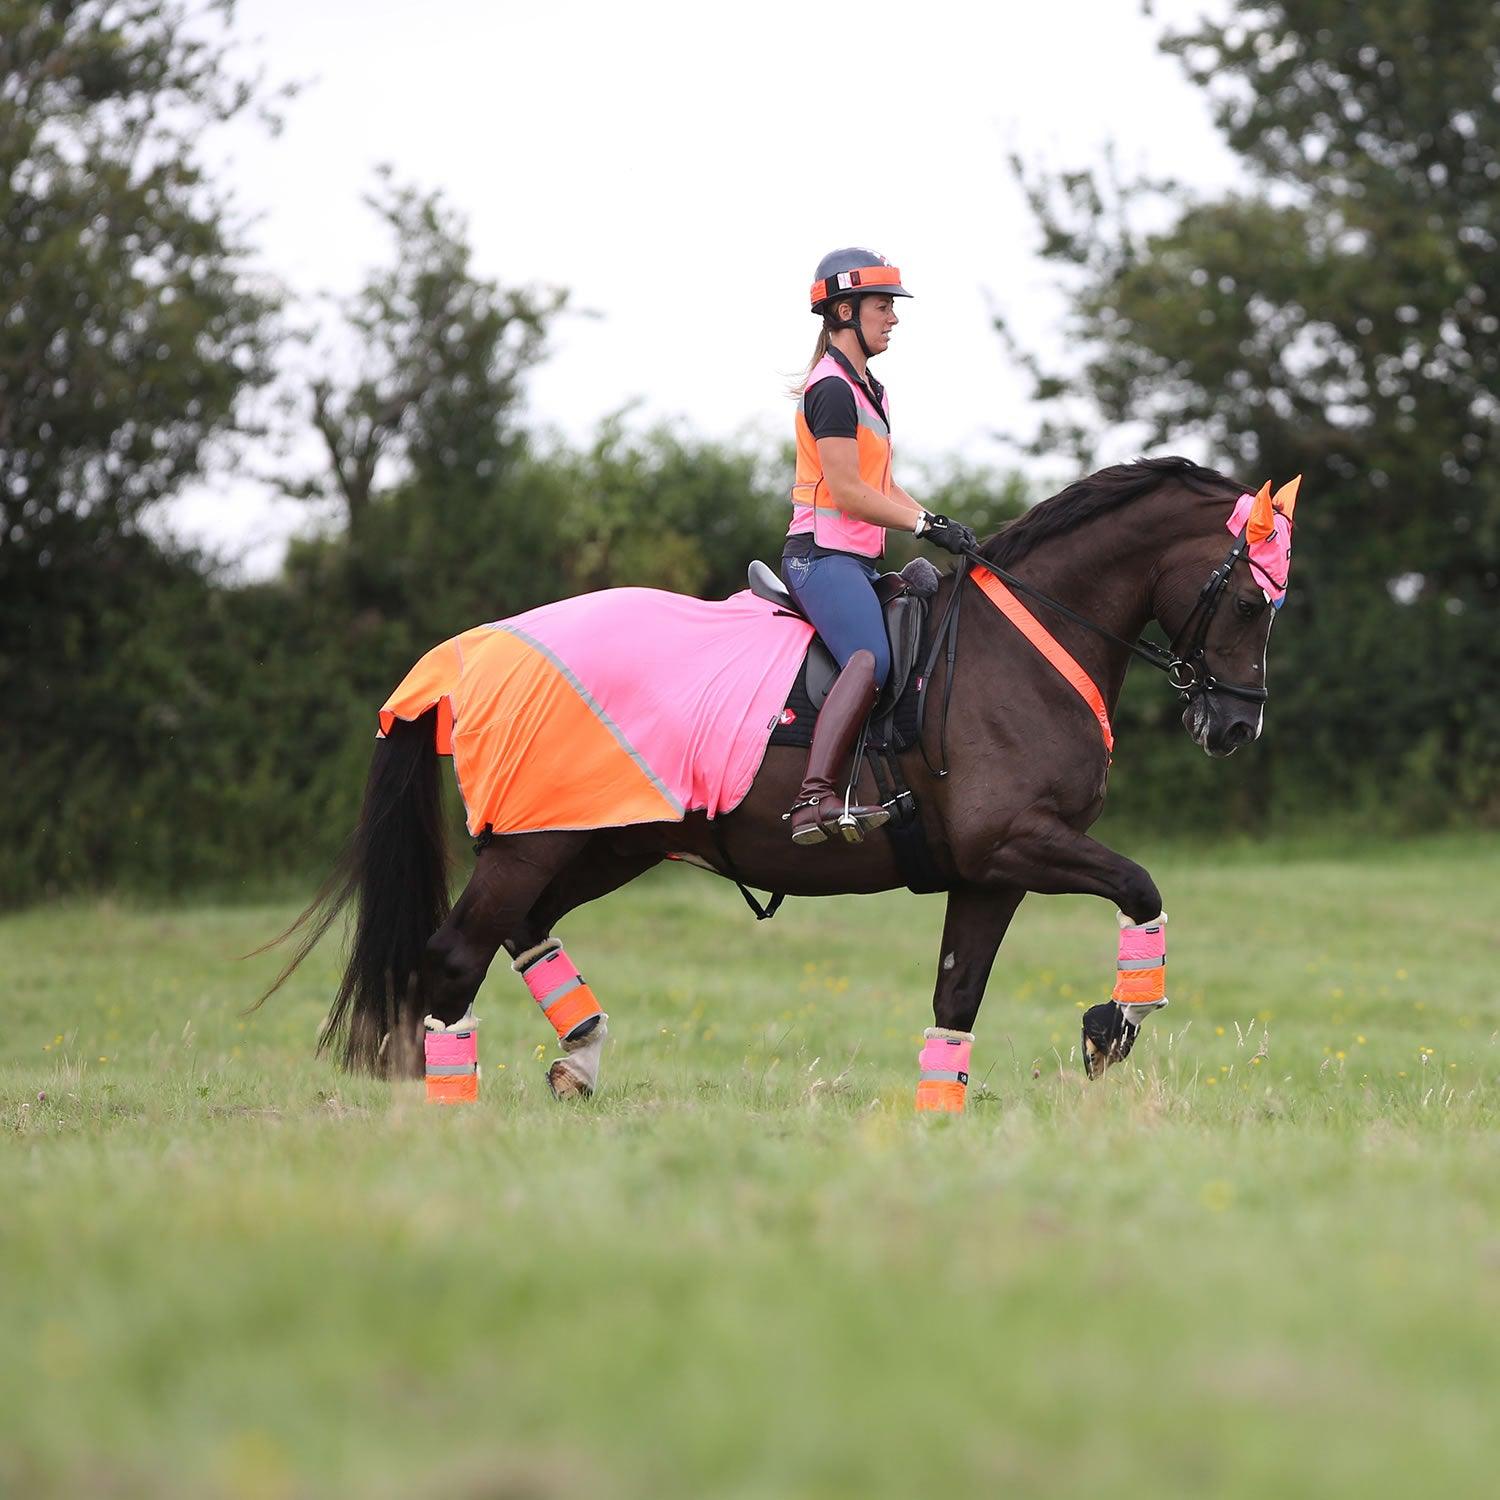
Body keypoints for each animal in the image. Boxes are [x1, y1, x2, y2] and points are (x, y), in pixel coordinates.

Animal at [264, 450, 1296, 1110]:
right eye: (1252, 600)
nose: (1235, 726)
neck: (1023, 648)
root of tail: (473, 651)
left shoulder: (990, 872)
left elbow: (956, 996)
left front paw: (946, 1103)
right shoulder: (1020, 842)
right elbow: (1141, 889)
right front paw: (1113, 1025)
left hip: (603, 842)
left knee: (520, 930)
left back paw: (581, 1061)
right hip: (542, 840)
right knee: (454, 952)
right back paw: (459, 1104)